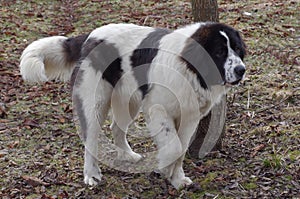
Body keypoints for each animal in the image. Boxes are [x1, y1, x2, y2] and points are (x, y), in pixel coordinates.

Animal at [20, 22, 246, 189]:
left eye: (236, 49)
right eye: (219, 52)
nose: (241, 69)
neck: (188, 67)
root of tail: (89, 37)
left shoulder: (190, 116)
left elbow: (181, 149)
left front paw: (177, 179)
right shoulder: (158, 109)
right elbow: (173, 146)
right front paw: (164, 168)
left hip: (128, 101)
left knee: (116, 129)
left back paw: (127, 155)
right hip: (96, 102)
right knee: (90, 138)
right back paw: (91, 174)